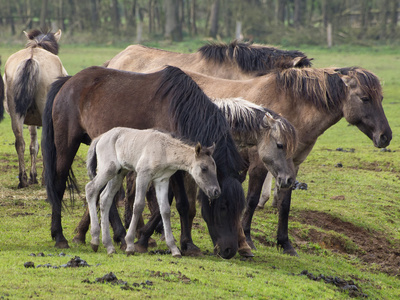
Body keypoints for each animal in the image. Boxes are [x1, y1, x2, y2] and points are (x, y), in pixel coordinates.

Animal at [2, 28, 67, 188]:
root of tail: (31, 58)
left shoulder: (31, 120)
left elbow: (33, 146)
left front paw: (33, 176)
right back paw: (44, 179)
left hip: (16, 114)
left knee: (20, 142)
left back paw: (23, 179)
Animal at [41, 67, 247, 258]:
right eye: (223, 206)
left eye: (240, 209)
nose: (229, 250)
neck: (178, 110)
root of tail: (68, 81)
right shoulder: (173, 169)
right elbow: (181, 203)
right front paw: (182, 243)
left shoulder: (168, 170)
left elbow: (167, 205)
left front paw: (152, 239)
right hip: (68, 145)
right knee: (60, 186)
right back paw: (60, 237)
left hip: (113, 167)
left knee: (106, 196)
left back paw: (115, 237)